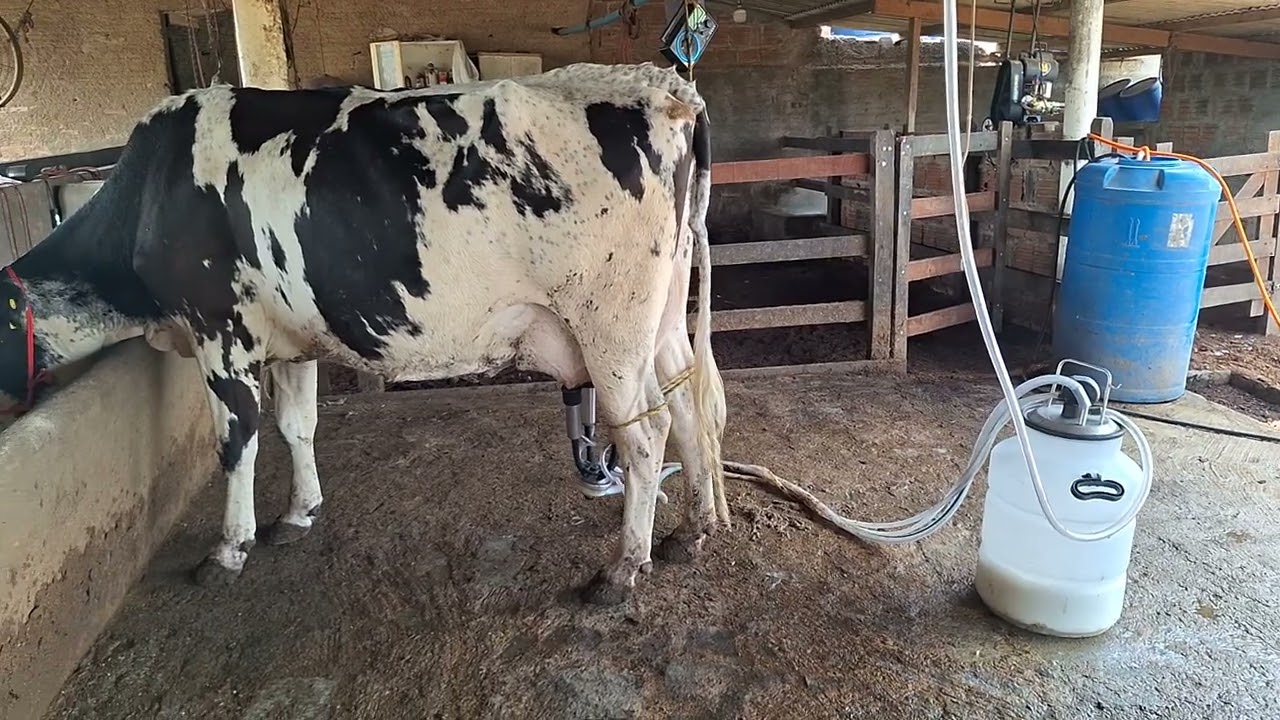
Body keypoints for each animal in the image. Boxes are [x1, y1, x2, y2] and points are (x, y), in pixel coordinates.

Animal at [0, 62, 728, 605]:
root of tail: (660, 85)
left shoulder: (220, 331)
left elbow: (237, 441)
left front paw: (229, 548)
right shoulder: (290, 338)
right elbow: (297, 425)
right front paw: (299, 513)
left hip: (611, 329)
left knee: (646, 438)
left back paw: (623, 570)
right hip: (662, 323)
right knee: (692, 412)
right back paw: (690, 536)